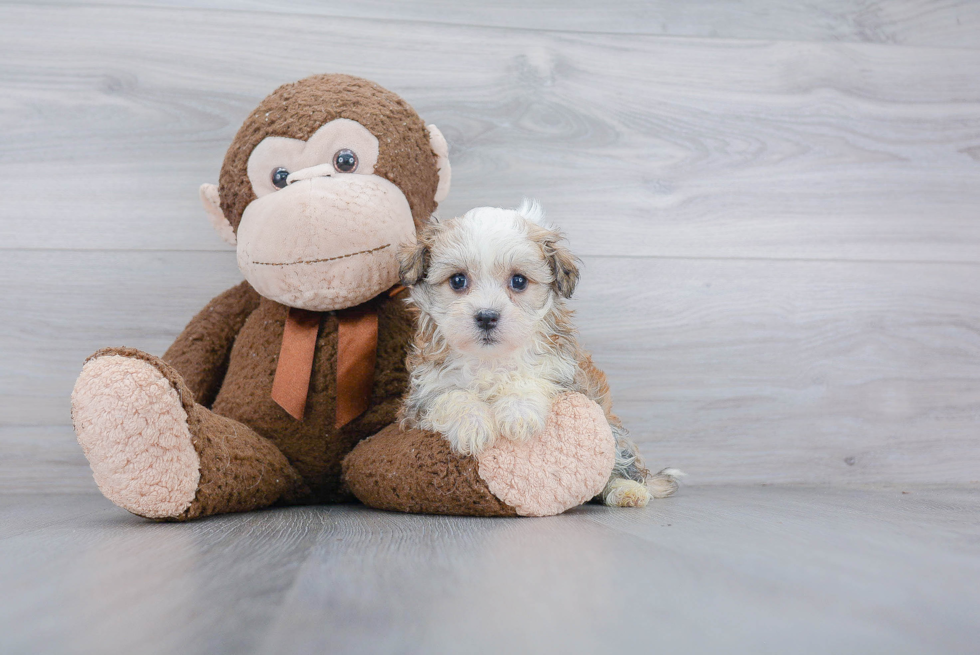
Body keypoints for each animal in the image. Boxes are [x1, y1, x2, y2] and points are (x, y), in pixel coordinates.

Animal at [394, 200, 676, 508]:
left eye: (518, 281)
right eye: (458, 280)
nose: (487, 316)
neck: (491, 359)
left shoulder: (564, 374)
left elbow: (532, 379)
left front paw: (518, 414)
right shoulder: (422, 396)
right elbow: (450, 395)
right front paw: (473, 424)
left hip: (608, 424)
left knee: (620, 461)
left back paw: (628, 490)